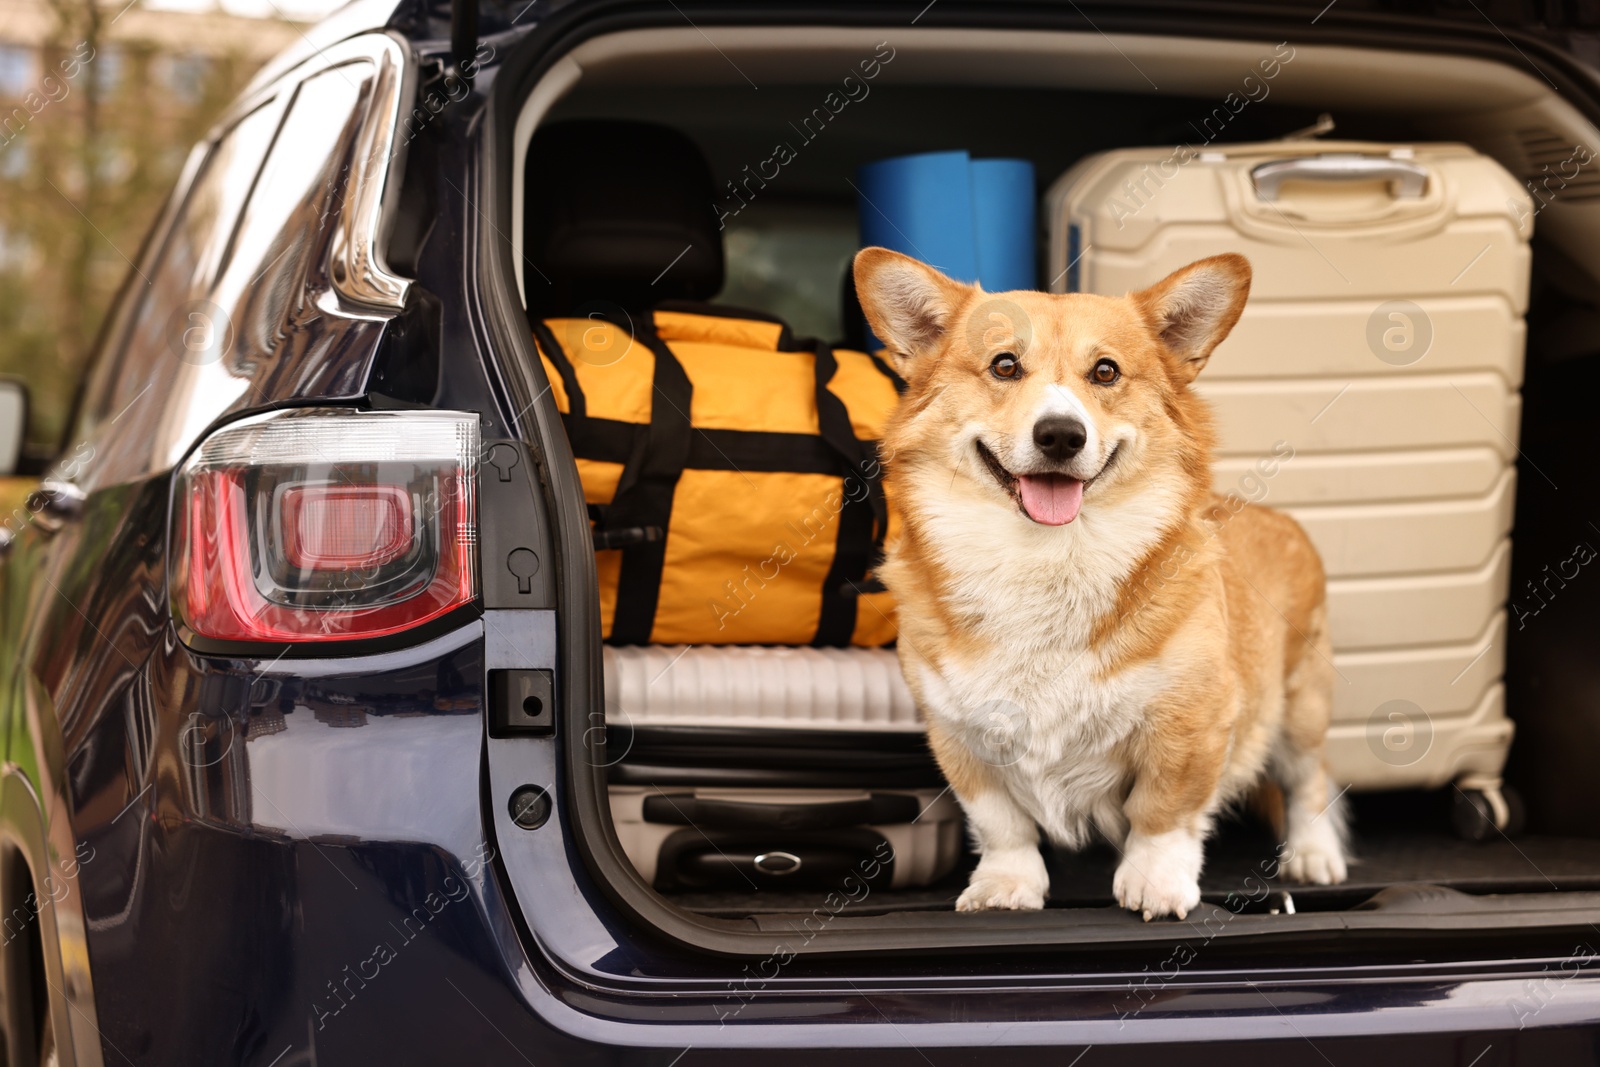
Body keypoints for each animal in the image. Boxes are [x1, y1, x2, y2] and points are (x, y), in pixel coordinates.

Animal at [857, 247, 1344, 921]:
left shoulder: (1190, 725)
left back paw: (1315, 855)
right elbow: (1002, 823)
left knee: (1309, 782)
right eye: (1004, 365)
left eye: (1106, 372)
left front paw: (1155, 884)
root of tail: (1278, 518)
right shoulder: (958, 736)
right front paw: (1006, 886)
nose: (1062, 434)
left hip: (1300, 709)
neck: (1047, 562)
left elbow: (1162, 814)